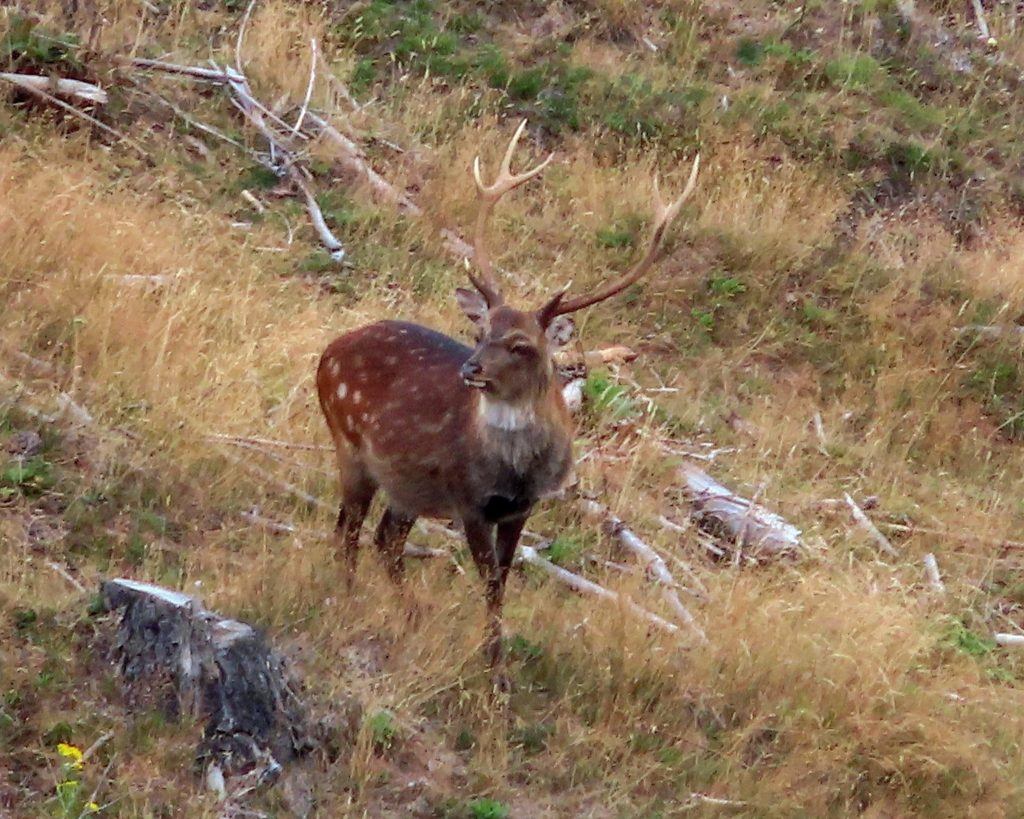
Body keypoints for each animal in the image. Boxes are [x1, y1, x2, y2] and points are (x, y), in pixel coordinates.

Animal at [313, 119, 696, 683]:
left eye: (521, 345)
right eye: (481, 332)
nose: (471, 369)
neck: (513, 471)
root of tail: (327, 354)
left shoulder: (521, 508)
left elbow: (504, 580)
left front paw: (494, 663)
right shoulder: (468, 499)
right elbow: (491, 581)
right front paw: (495, 673)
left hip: (406, 483)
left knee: (384, 539)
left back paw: (409, 615)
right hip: (349, 442)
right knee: (348, 529)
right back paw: (349, 599)